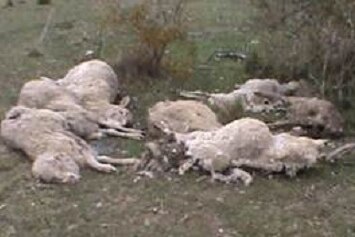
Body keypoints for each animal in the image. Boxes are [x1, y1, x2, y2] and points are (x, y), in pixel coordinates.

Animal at [0, 106, 140, 184]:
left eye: (58, 167)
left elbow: (103, 157)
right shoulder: (83, 150)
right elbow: (99, 159)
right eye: (53, 179)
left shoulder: (84, 148)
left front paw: (130, 160)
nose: (72, 179)